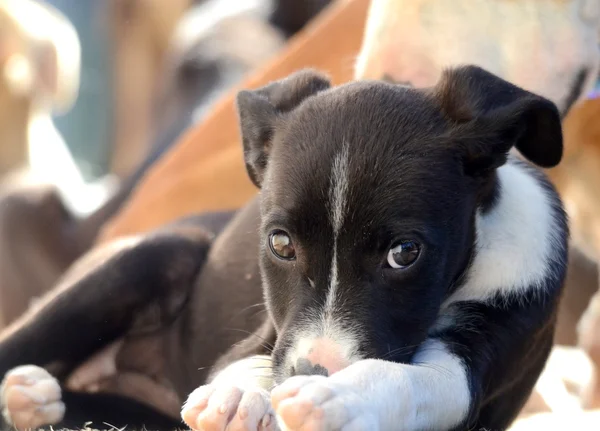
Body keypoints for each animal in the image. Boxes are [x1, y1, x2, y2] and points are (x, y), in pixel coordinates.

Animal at [183, 67, 568, 431]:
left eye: (404, 253)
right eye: (280, 243)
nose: (314, 372)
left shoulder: (486, 347)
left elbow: (408, 379)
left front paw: (339, 396)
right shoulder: (269, 337)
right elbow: (243, 362)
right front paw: (236, 395)